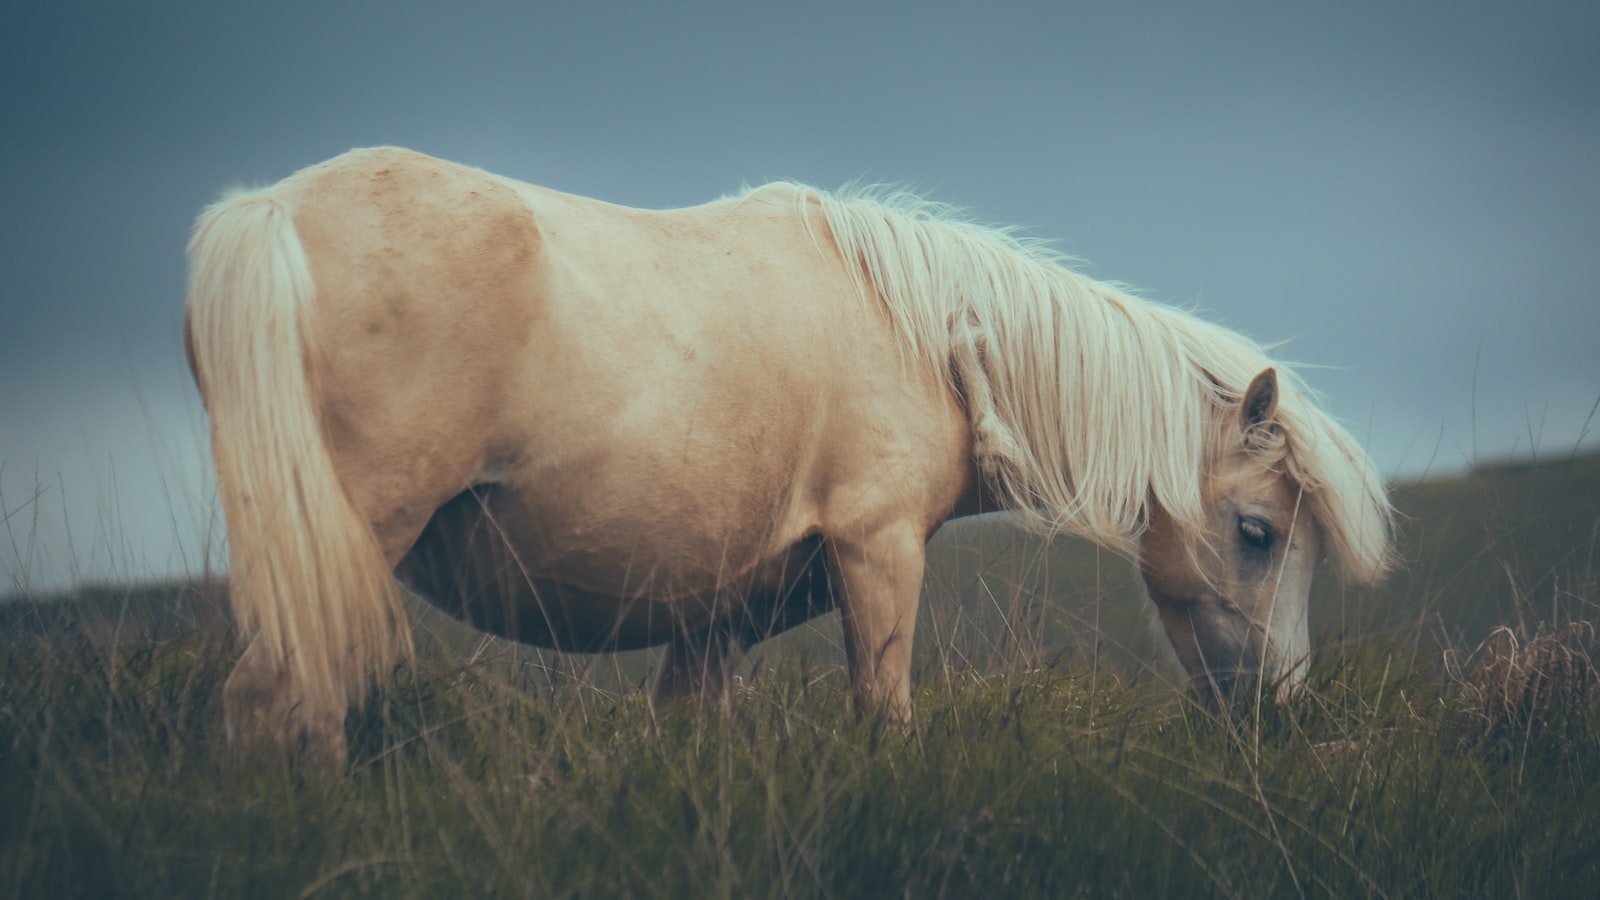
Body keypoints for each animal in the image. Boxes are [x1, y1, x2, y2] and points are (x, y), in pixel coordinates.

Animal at [181, 147, 1395, 762]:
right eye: (1257, 532)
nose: (1277, 713)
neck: (926, 333)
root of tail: (267, 211)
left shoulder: (710, 620)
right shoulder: (877, 552)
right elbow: (884, 717)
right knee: (280, 705)